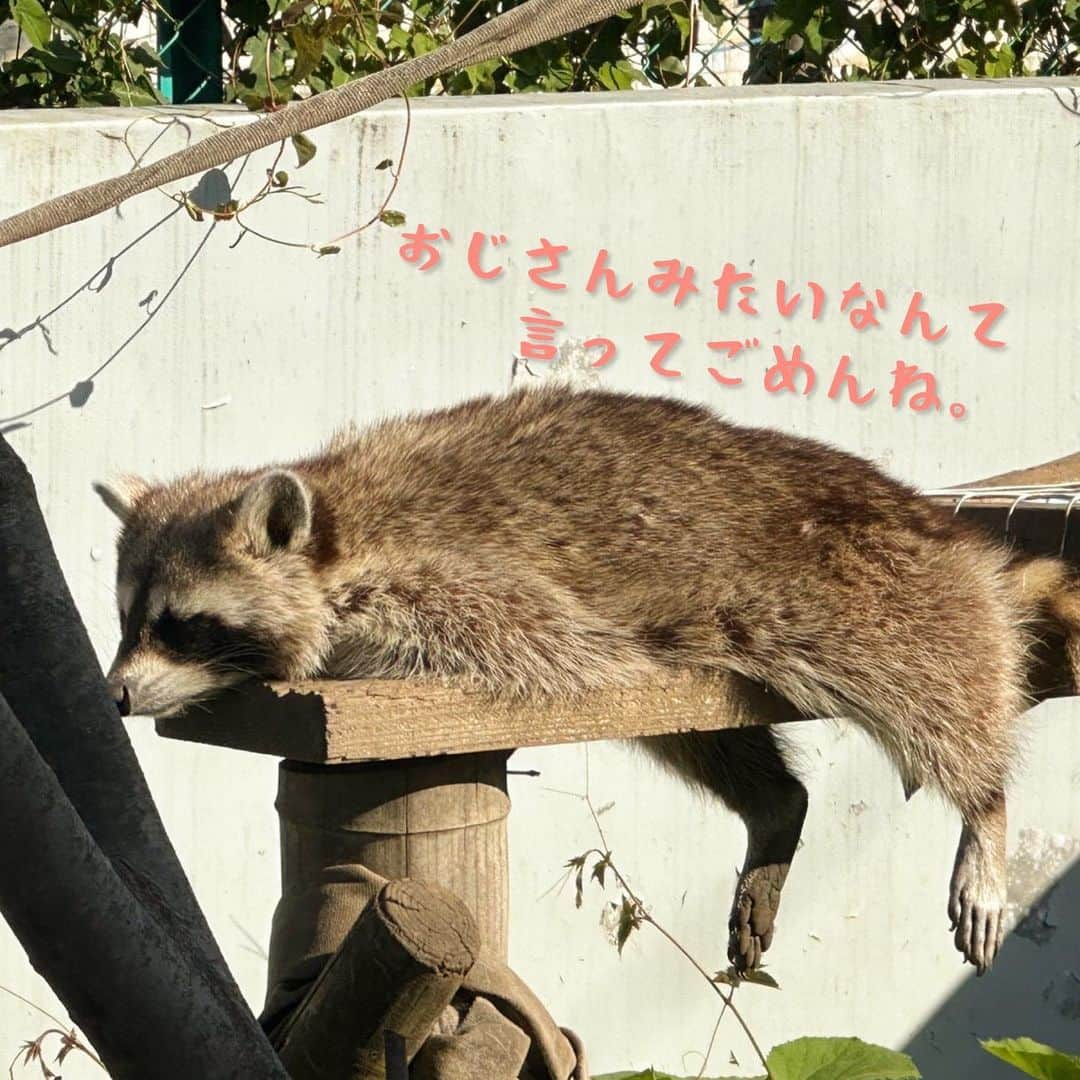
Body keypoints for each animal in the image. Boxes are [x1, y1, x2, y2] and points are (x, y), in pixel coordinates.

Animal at [95, 386, 1080, 980]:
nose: (114, 696)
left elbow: (525, 643)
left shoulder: (464, 586)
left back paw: (984, 803)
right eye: (125, 618)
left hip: (856, 584)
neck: (338, 524)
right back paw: (774, 807)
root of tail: (931, 522)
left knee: (934, 683)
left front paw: (318, 658)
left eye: (180, 624)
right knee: (717, 745)